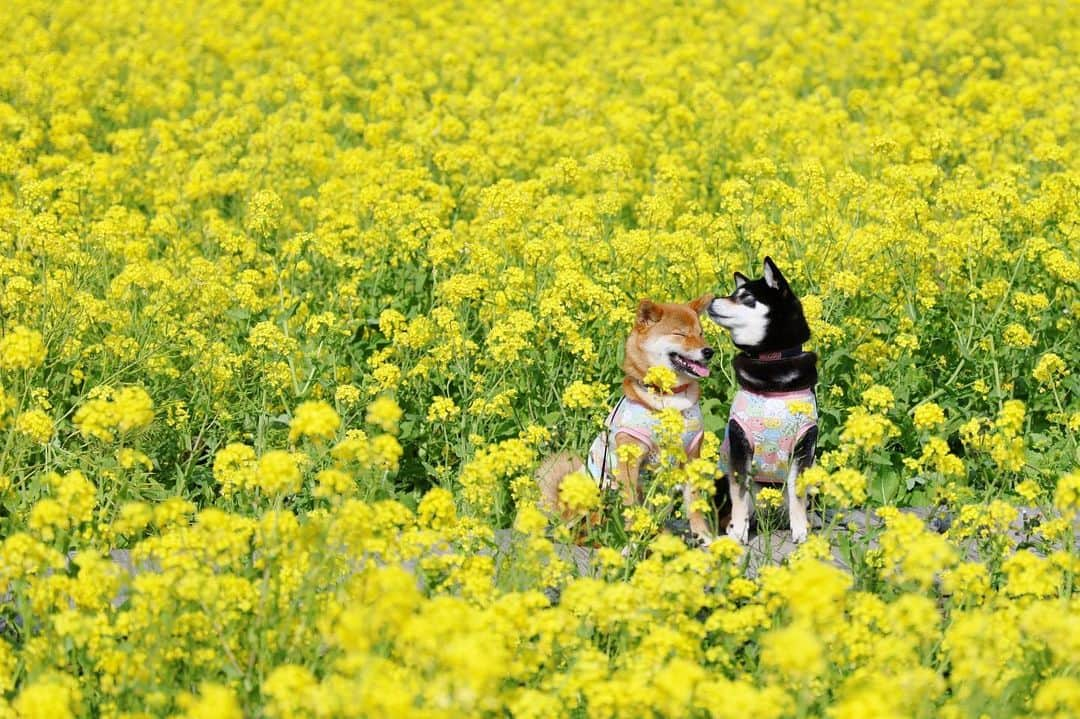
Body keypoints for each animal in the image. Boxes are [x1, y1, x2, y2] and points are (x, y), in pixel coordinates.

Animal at [537, 293, 717, 546]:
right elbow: (631, 504)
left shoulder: (691, 455)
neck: (670, 398)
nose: (709, 351)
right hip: (599, 490)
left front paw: (703, 535)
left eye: (701, 333)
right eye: (680, 334)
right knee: (588, 530)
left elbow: (695, 502)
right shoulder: (630, 458)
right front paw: (633, 536)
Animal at [708, 254, 816, 539]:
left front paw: (801, 531)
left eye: (746, 297)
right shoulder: (739, 442)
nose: (710, 299)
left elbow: (798, 494)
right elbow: (739, 494)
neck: (771, 360)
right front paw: (738, 532)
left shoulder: (804, 444)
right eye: (733, 293)